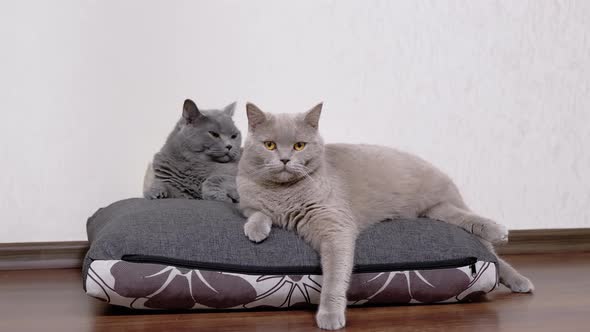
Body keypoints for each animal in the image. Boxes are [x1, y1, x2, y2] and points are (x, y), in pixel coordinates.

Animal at [238, 103, 540, 330]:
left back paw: (509, 254)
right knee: (467, 225)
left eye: (299, 146)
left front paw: (330, 316)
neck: (283, 194)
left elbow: (335, 275)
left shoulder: (335, 226)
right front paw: (256, 231)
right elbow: (256, 212)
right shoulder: (246, 200)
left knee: (492, 252)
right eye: (269, 145)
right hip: (438, 210)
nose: (285, 160)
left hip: (445, 200)